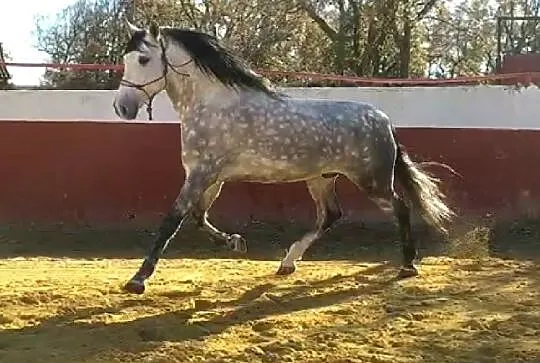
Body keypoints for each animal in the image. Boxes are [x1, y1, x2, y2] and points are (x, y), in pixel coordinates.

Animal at [112, 21, 454, 296]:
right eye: (125, 60)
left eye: (143, 59)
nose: (122, 108)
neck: (210, 105)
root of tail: (384, 120)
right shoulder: (211, 177)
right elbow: (198, 217)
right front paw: (235, 242)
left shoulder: (202, 173)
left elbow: (172, 221)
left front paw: (138, 279)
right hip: (321, 179)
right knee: (331, 215)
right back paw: (288, 262)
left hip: (372, 181)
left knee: (400, 207)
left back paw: (408, 265)